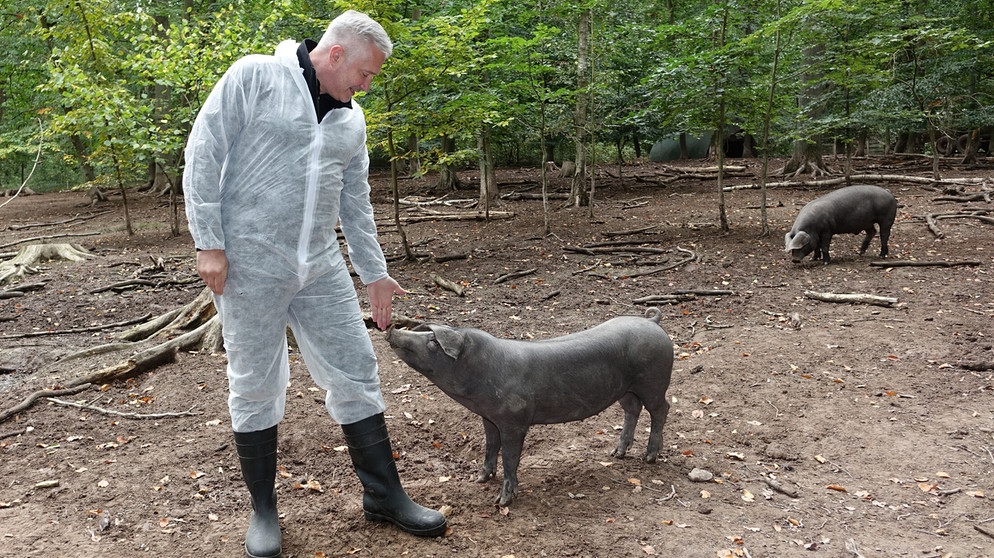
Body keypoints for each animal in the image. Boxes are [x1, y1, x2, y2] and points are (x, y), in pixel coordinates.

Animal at [384, 308, 672, 510]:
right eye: (425, 334)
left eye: (433, 342)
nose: (390, 329)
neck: (479, 373)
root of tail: (652, 322)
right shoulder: (489, 417)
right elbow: (490, 446)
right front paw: (479, 479)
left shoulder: (514, 420)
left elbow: (510, 458)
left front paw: (502, 502)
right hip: (625, 390)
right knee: (632, 409)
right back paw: (616, 454)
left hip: (653, 380)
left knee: (661, 409)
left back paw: (649, 457)